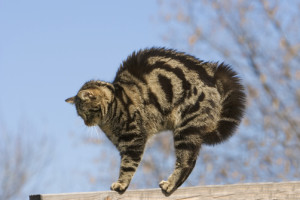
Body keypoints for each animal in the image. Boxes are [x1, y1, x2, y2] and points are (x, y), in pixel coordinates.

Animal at [65, 47, 246, 196]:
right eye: (80, 115)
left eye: (85, 112)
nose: (86, 123)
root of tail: (210, 71)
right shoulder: (123, 144)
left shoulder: (133, 139)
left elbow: (128, 165)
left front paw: (121, 184)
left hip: (185, 129)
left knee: (186, 162)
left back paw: (169, 185)